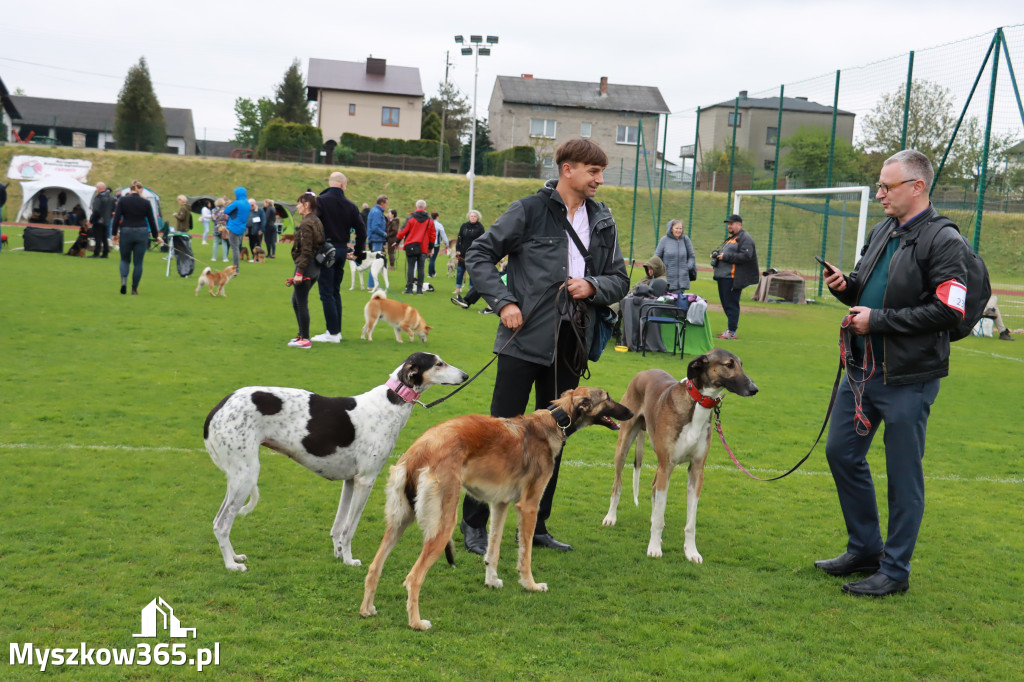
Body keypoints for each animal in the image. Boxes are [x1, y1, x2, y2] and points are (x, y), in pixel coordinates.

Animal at [203, 350, 468, 569]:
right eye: (438, 363)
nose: (465, 375)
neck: (390, 403)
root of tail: (216, 409)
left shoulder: (349, 481)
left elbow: (339, 527)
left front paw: (339, 554)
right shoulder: (365, 481)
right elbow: (350, 528)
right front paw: (350, 560)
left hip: (238, 478)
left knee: (217, 521)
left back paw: (235, 557)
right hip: (246, 475)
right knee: (222, 524)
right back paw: (231, 565)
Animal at [360, 385, 630, 630]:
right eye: (607, 398)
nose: (629, 411)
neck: (554, 420)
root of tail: (418, 452)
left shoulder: (500, 503)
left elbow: (494, 548)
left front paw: (492, 581)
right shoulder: (529, 505)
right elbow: (525, 554)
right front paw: (531, 585)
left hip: (399, 520)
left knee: (374, 567)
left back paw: (367, 610)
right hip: (443, 524)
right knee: (413, 578)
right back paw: (416, 623)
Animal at [598, 348, 761, 561]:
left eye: (741, 364)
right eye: (729, 364)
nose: (754, 389)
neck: (698, 403)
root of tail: (644, 372)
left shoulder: (697, 470)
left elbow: (690, 522)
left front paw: (691, 552)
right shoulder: (667, 465)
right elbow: (659, 515)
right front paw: (654, 548)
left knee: (653, 488)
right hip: (624, 446)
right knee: (617, 485)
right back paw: (611, 517)